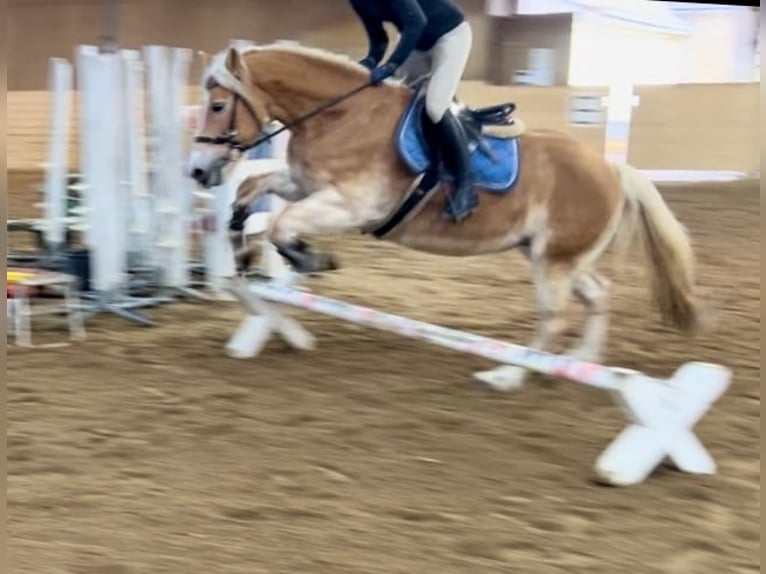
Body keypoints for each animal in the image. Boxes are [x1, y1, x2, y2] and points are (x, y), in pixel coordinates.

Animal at [188, 42, 708, 390]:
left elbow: (282, 225)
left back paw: (508, 375)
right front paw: (243, 253)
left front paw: (312, 260)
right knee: (598, 293)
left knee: (556, 315)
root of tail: (613, 170)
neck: (341, 116)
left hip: (554, 261)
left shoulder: (352, 205)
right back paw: (580, 362)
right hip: (554, 255)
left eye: (218, 105)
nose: (197, 170)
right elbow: (252, 193)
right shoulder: (304, 186)